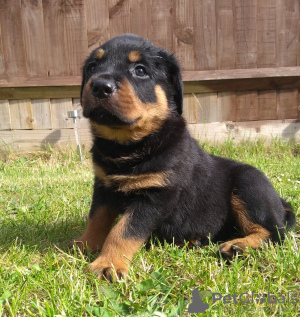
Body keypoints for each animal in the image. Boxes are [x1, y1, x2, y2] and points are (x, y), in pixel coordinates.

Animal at [72, 33, 296, 280]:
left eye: (140, 70)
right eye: (92, 67)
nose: (100, 86)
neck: (126, 146)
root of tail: (281, 202)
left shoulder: (156, 194)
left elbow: (123, 231)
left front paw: (108, 264)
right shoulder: (103, 185)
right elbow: (97, 218)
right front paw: (84, 244)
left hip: (249, 184)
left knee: (275, 233)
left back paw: (238, 246)